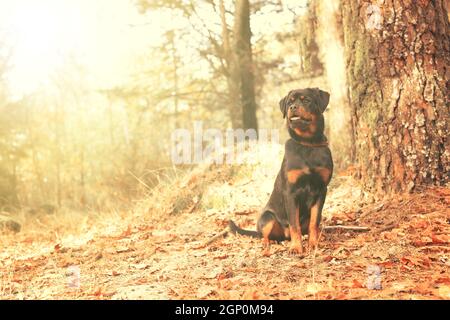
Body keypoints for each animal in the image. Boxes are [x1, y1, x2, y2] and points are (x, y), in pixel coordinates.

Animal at [230, 87, 332, 255]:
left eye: (306, 100)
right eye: (289, 102)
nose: (293, 107)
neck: (307, 144)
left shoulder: (321, 190)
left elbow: (314, 222)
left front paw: (313, 244)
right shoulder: (291, 192)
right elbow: (294, 224)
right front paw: (296, 248)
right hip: (267, 218)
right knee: (265, 234)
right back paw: (267, 245)